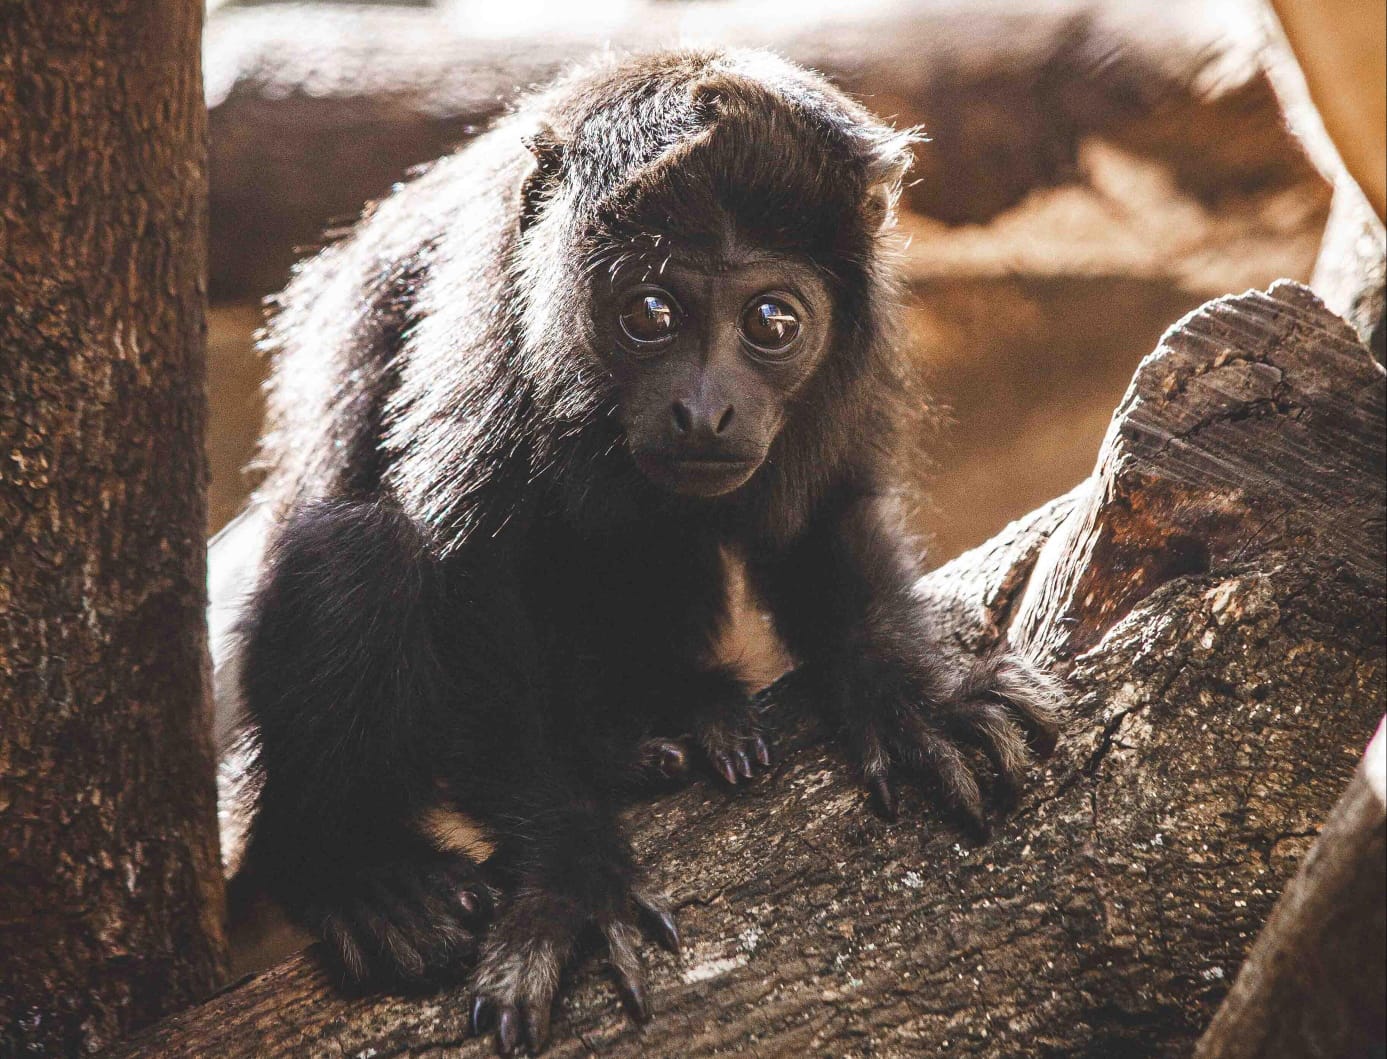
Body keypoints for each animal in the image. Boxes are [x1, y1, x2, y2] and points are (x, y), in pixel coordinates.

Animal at [230, 49, 1059, 1059]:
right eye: (650, 311)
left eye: (772, 322)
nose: (705, 408)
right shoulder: (494, 309)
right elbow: (464, 572)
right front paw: (569, 871)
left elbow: (825, 515)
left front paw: (914, 692)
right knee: (359, 552)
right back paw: (357, 874)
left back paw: (665, 715)